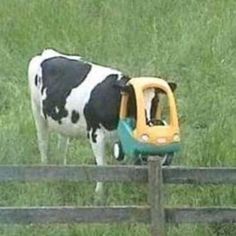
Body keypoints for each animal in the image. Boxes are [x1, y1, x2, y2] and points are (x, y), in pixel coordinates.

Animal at [28, 48, 175, 195]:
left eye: (156, 101)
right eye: (134, 100)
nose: (150, 124)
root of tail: (46, 52)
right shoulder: (95, 133)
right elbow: (101, 164)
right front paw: (99, 193)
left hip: (62, 122)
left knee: (62, 147)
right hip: (37, 111)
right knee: (43, 143)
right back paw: (45, 170)